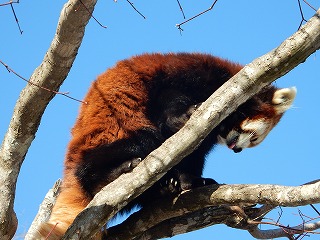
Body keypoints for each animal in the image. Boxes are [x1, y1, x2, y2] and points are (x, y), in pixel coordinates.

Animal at [36, 52, 296, 238]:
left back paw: (164, 189)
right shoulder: (191, 74)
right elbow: (171, 100)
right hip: (111, 129)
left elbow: (193, 156)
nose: (237, 149)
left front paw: (191, 181)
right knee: (135, 144)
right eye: (251, 135)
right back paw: (111, 175)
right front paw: (183, 115)